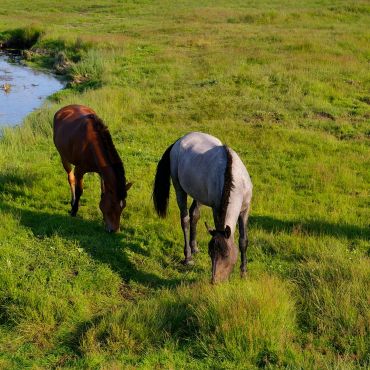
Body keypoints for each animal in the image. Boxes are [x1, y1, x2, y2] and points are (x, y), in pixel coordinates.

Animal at [152, 132, 251, 284]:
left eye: (226, 254)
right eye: (210, 253)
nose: (214, 281)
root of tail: (180, 140)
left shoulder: (245, 210)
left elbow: (243, 241)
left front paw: (244, 273)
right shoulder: (216, 209)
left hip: (198, 194)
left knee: (194, 215)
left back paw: (194, 248)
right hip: (179, 189)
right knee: (185, 220)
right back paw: (188, 257)